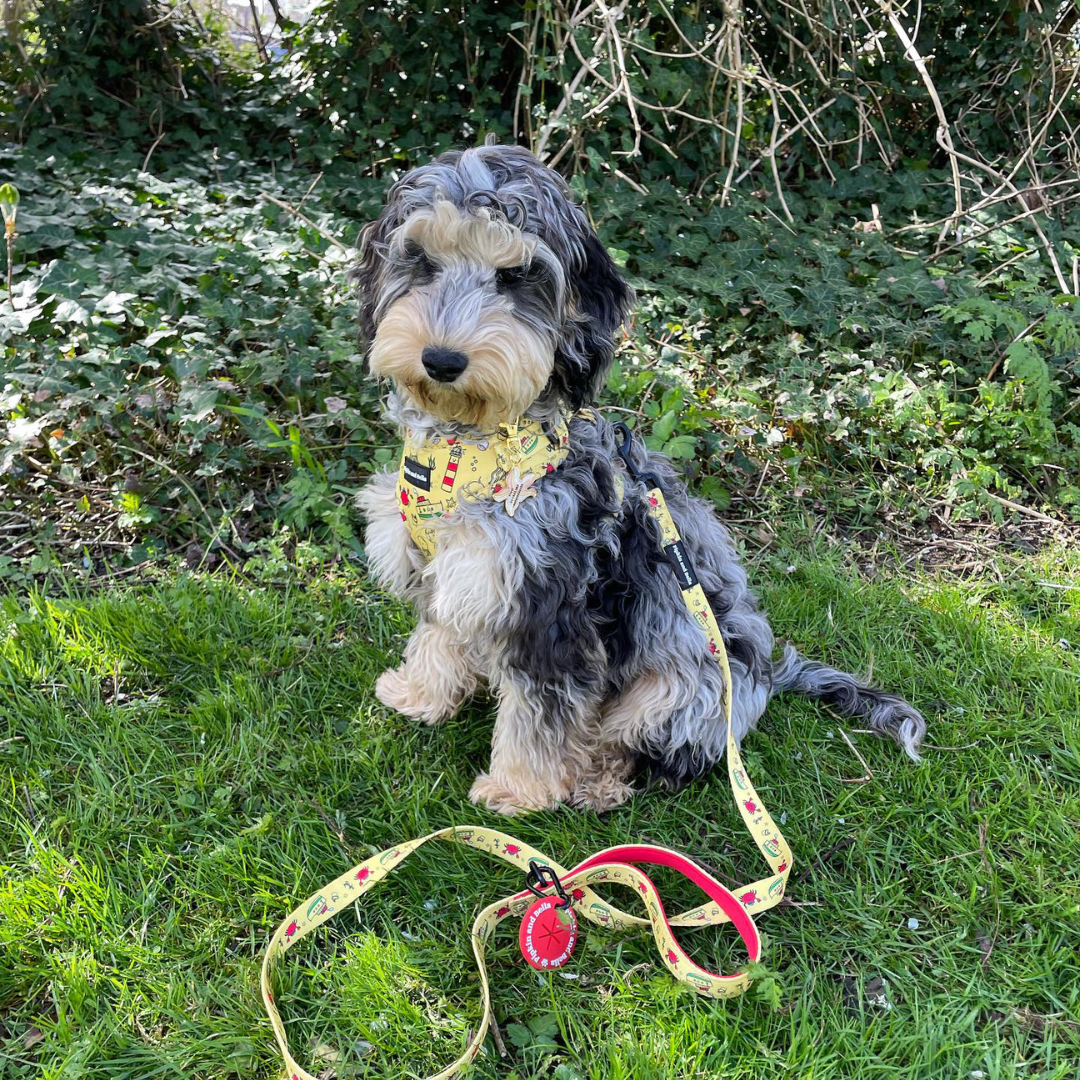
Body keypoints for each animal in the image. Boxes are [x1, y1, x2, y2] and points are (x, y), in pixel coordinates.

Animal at [356, 141, 928, 812]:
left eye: (516, 276)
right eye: (422, 260)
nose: (442, 360)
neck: (473, 447)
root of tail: (769, 676)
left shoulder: (547, 602)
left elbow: (541, 707)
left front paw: (519, 789)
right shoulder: (454, 570)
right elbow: (438, 636)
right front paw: (420, 695)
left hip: (681, 683)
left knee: (652, 753)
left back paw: (599, 781)